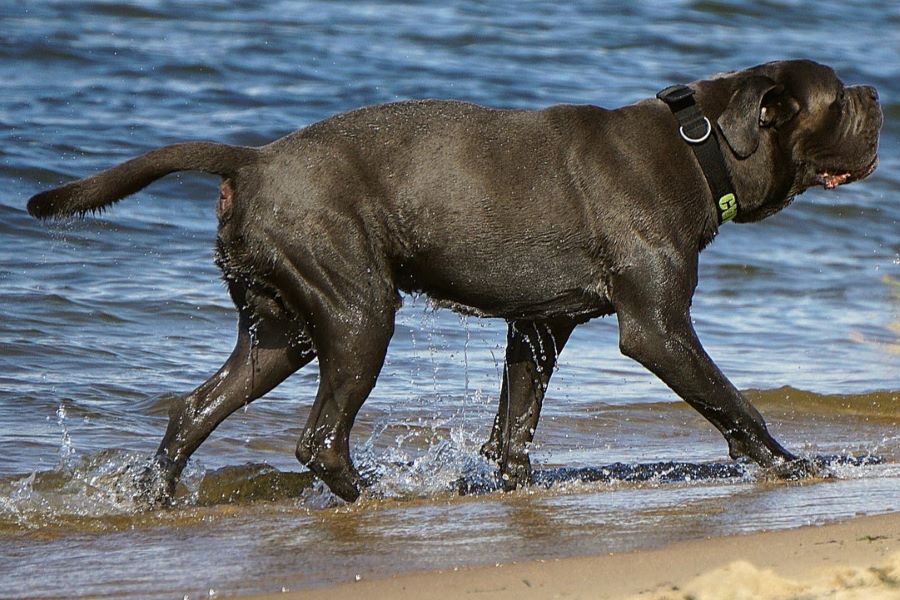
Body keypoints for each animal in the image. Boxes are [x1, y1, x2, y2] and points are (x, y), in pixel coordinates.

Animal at [26, 59, 880, 502]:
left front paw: (519, 488)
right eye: (837, 97)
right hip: (358, 310)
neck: (699, 145)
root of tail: (254, 160)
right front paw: (790, 464)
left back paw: (161, 496)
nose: (876, 93)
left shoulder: (539, 326)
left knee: (195, 409)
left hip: (283, 330)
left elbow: (514, 426)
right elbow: (732, 400)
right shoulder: (659, 328)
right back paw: (371, 499)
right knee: (319, 440)